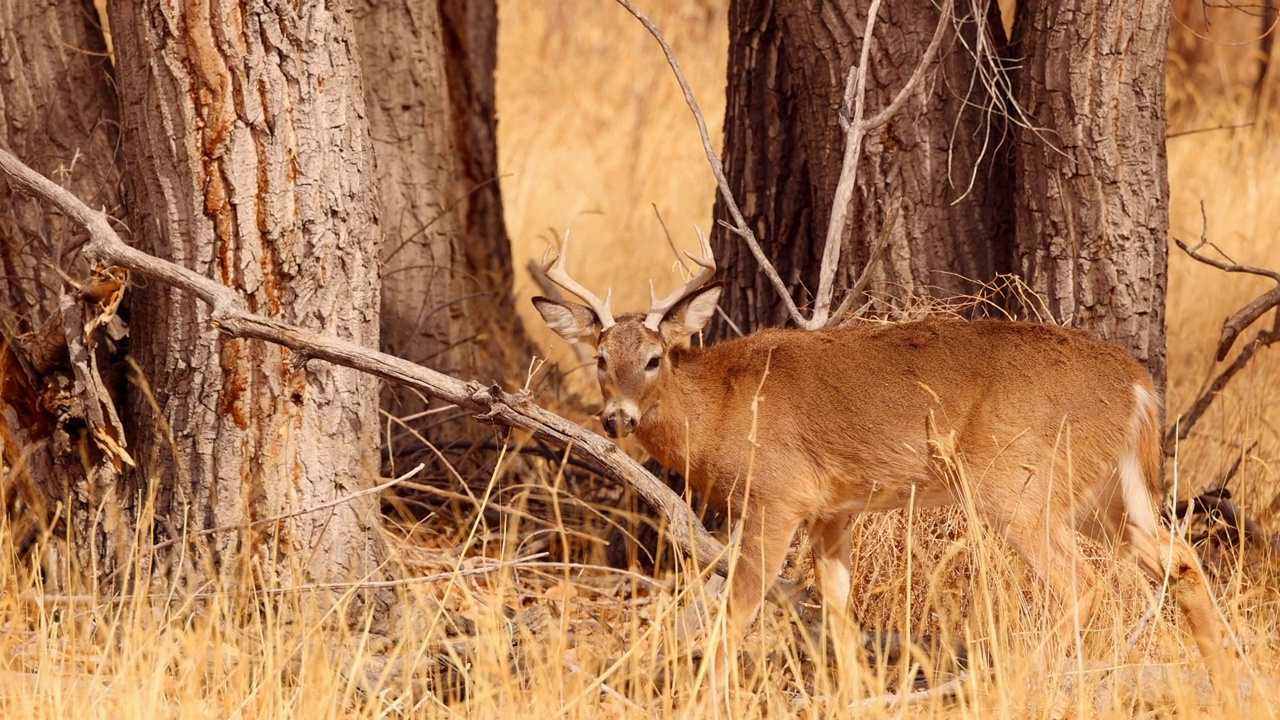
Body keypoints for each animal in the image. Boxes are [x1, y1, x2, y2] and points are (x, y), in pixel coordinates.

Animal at [524, 234, 1233, 691]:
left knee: (1085, 587)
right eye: (599, 357)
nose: (617, 418)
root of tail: (1138, 385)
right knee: (1180, 560)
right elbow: (839, 617)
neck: (720, 406)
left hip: (1021, 486)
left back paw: (1022, 681)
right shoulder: (834, 511)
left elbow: (738, 611)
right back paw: (1226, 681)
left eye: (653, 359)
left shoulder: (775, 496)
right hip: (1102, 493)